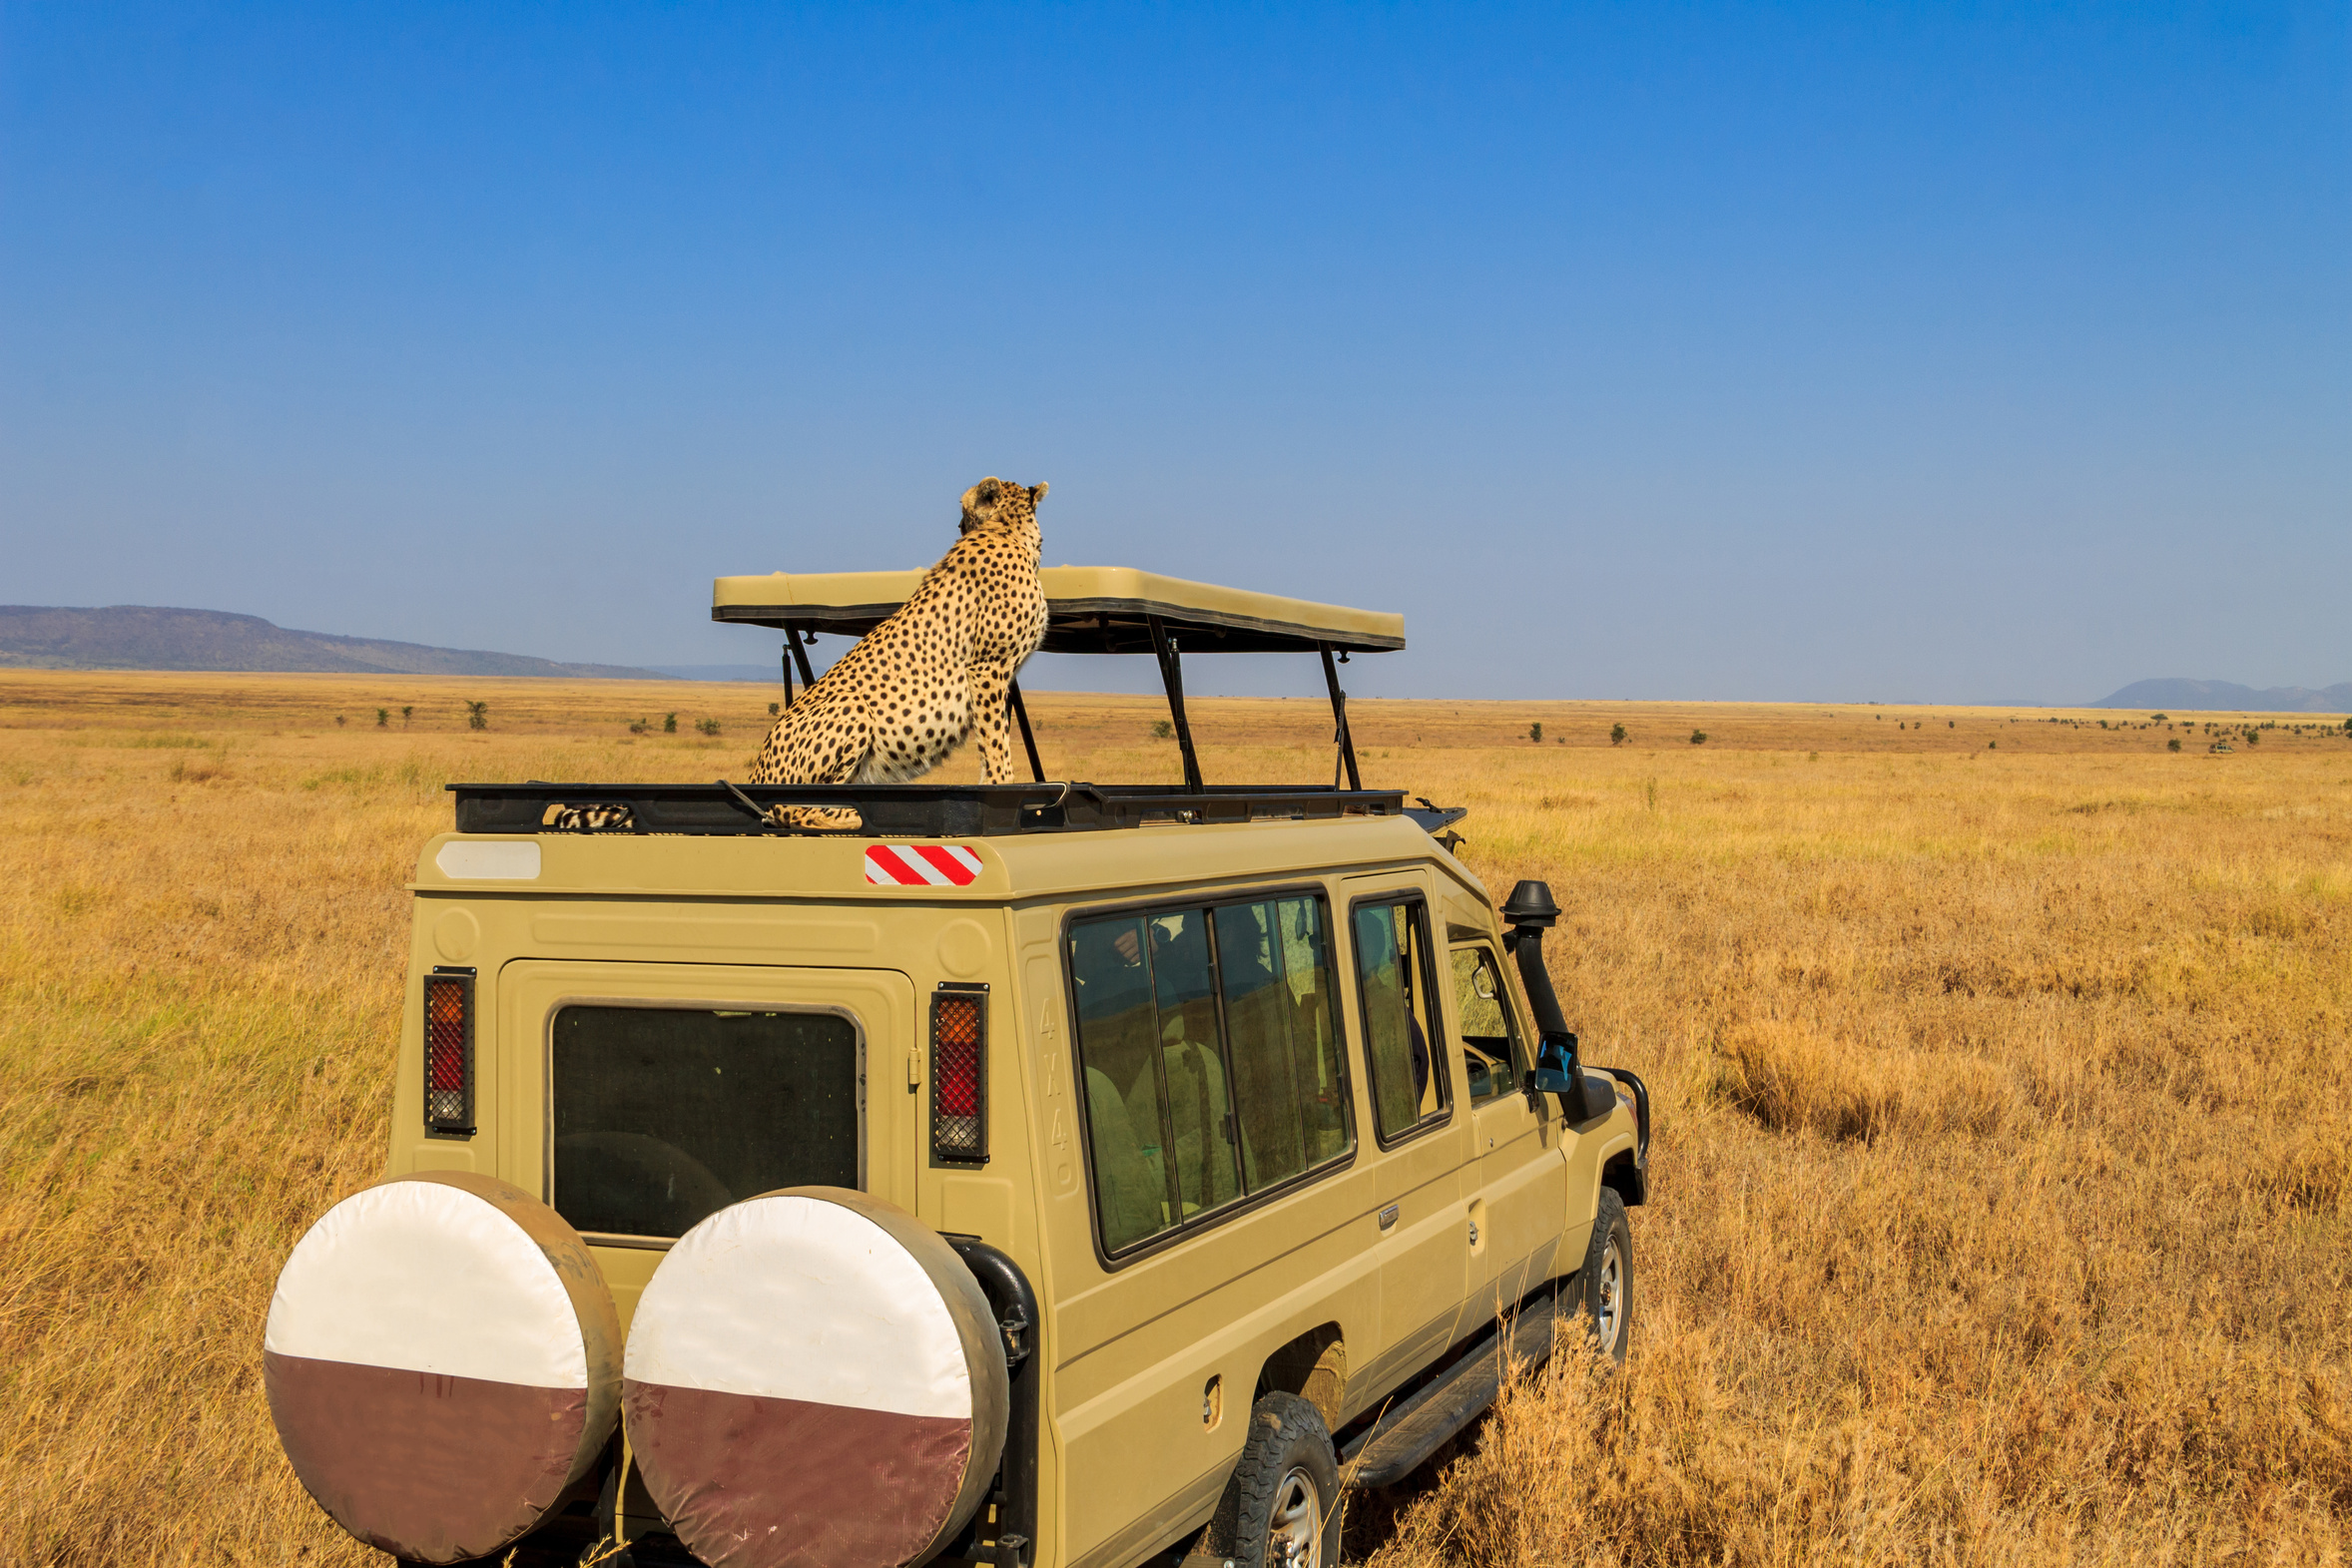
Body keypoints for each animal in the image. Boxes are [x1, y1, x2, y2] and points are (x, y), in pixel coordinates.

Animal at [547, 476, 1048, 835]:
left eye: (961, 510)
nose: (957, 524)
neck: (1012, 532)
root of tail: (757, 770)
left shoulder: (999, 673)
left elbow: (995, 740)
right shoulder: (987, 668)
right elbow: (996, 744)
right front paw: (1005, 792)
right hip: (850, 710)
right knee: (784, 809)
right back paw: (846, 818)